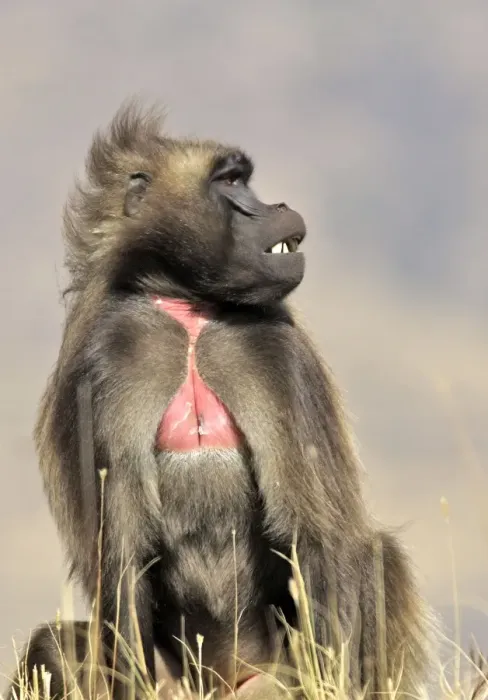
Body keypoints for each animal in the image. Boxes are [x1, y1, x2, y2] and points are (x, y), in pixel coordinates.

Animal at [8, 101, 433, 700]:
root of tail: (223, 682)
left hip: (275, 679)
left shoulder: (275, 352)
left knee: (372, 553)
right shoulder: (109, 359)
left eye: (244, 179)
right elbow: (122, 560)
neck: (189, 311)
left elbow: (317, 535)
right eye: (229, 182)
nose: (278, 207)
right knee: (53, 645)